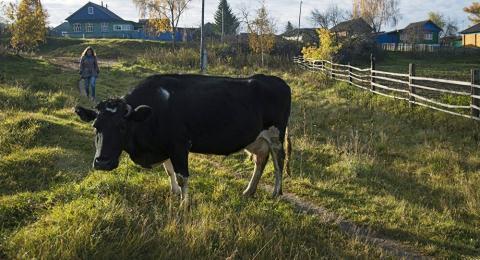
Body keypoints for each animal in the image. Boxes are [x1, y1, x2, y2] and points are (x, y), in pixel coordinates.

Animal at [75, 73, 290, 203]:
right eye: (95, 127)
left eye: (122, 127)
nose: (102, 162)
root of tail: (277, 80)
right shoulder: (165, 147)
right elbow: (169, 171)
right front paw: (174, 193)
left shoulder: (179, 145)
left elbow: (182, 177)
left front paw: (184, 204)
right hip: (257, 139)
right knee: (261, 160)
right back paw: (249, 191)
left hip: (276, 135)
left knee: (279, 161)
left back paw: (276, 193)